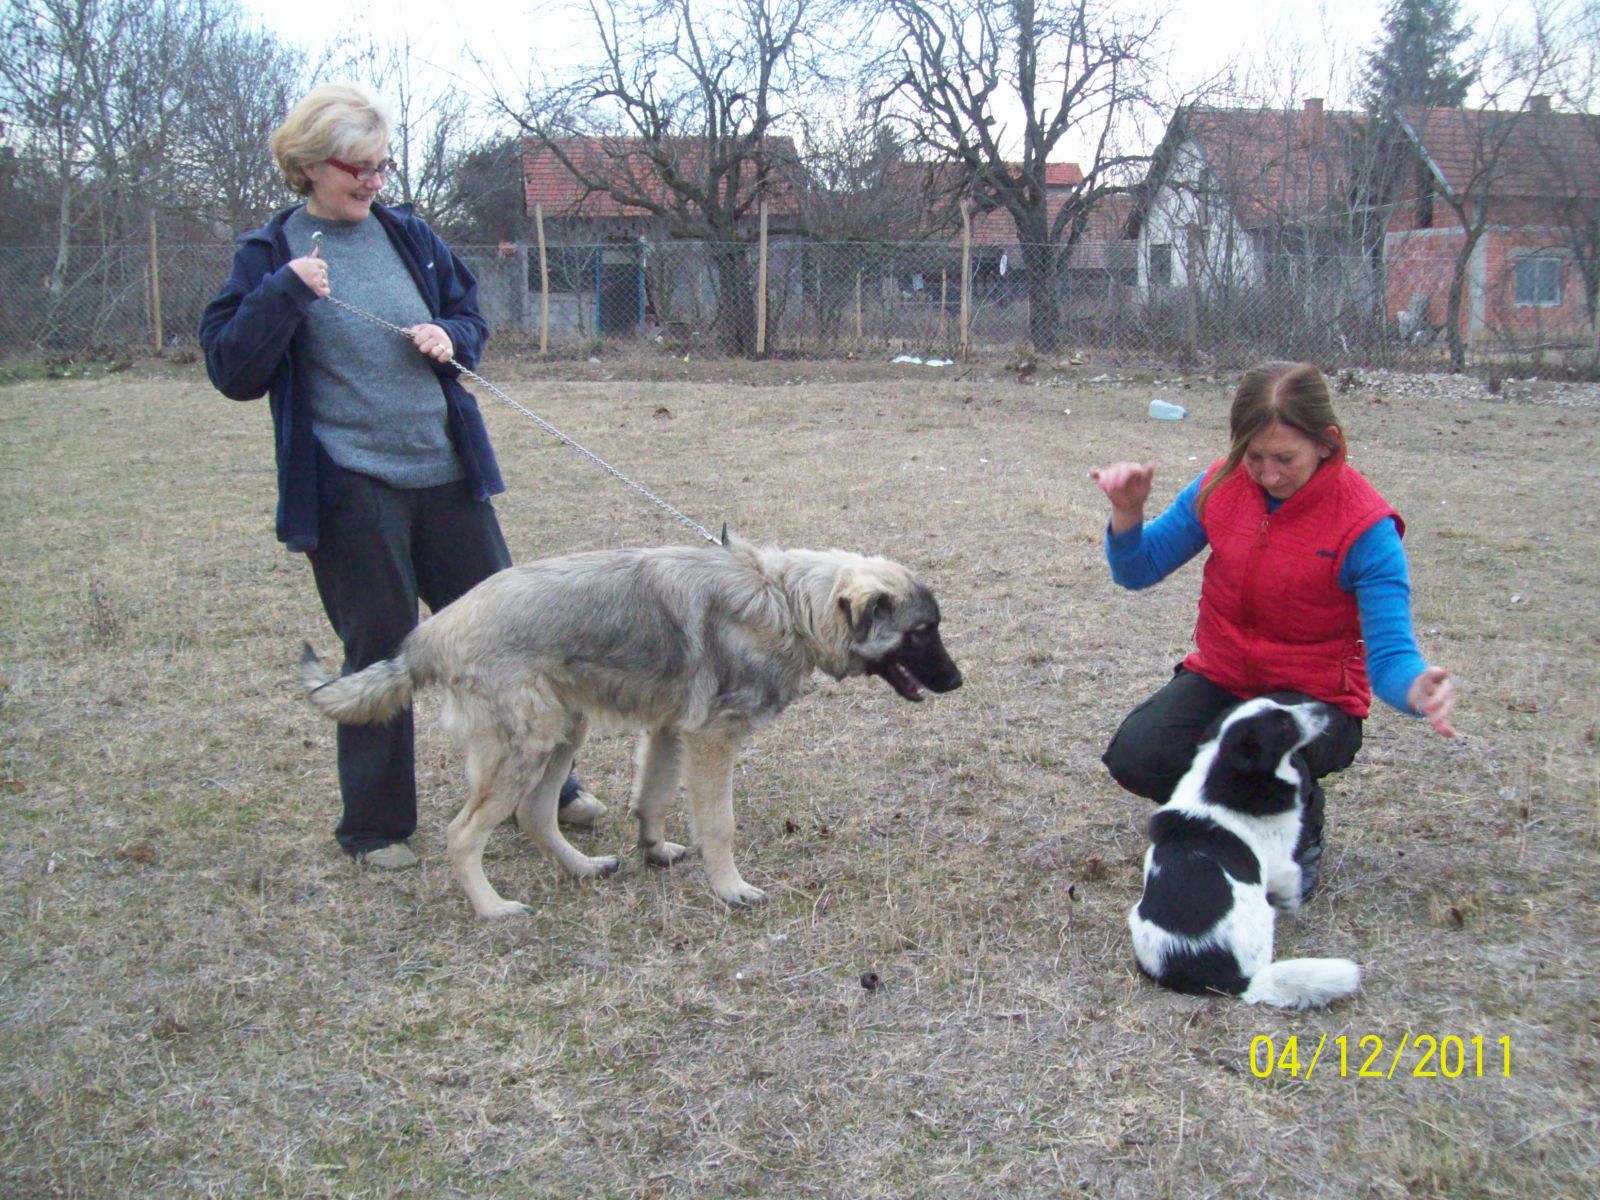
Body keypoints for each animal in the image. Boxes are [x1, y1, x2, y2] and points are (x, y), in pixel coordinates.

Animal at [297, 534, 960, 921]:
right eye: (922, 632)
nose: (957, 683)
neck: (786, 602)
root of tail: (426, 637)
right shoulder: (712, 741)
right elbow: (718, 824)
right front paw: (730, 889)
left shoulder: (668, 731)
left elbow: (654, 796)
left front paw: (654, 848)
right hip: (525, 750)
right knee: (462, 835)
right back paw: (492, 908)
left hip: (563, 737)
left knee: (535, 815)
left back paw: (582, 869)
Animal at [1126, 694, 1363, 1017]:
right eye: (1284, 724)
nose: (1324, 707)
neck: (1220, 778)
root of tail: (1234, 981)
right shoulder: (1279, 859)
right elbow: (1291, 875)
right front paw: (1292, 902)